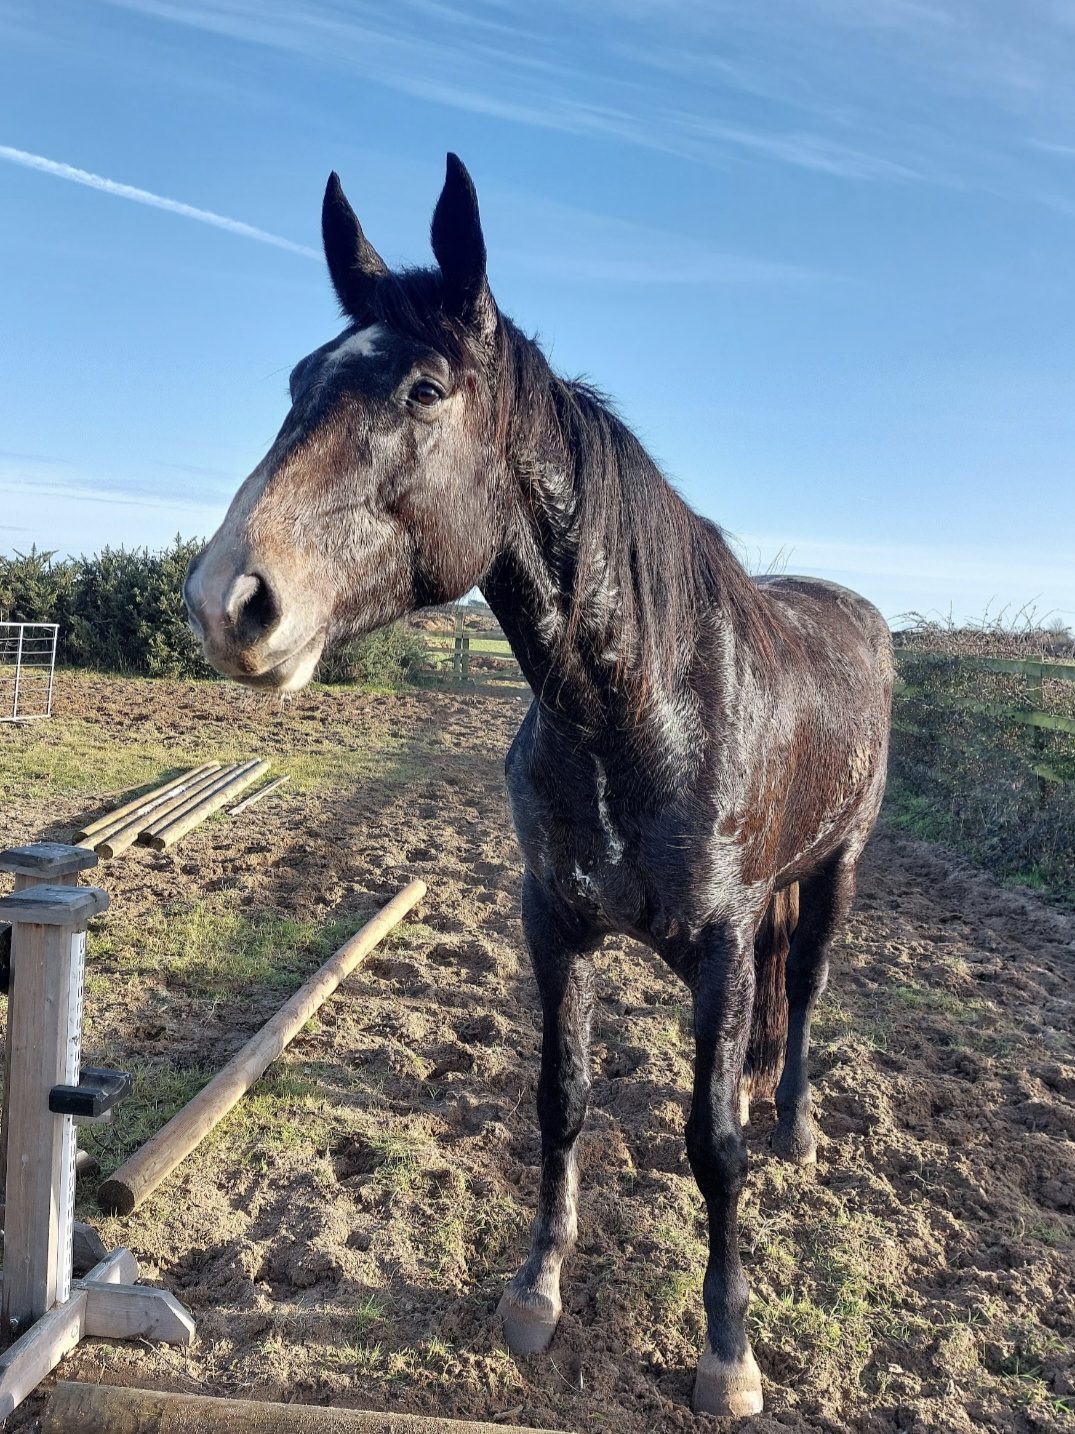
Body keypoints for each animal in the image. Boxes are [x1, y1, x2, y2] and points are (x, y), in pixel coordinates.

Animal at [184, 154, 893, 1417]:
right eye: (301, 380)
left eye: (424, 390)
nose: (229, 601)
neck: (642, 712)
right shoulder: (550, 920)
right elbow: (559, 1100)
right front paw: (536, 1291)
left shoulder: (721, 948)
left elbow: (711, 1145)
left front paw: (729, 1353)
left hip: (836, 870)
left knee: (803, 990)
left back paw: (797, 1123)